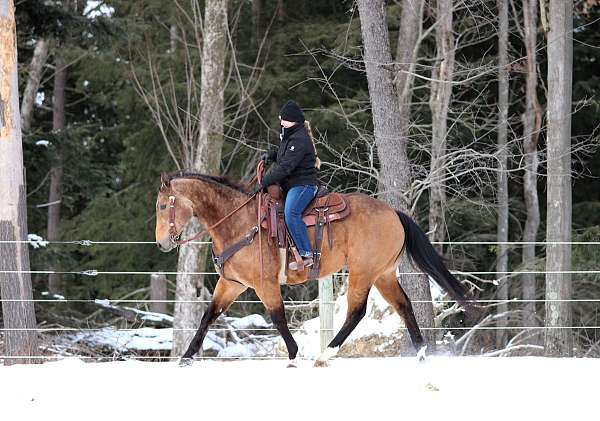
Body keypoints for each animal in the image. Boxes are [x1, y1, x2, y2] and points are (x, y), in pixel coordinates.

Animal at [155, 170, 474, 364]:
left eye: (162, 206)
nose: (161, 244)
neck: (240, 223)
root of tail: (394, 213)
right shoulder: (232, 284)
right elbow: (208, 316)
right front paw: (187, 356)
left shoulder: (264, 283)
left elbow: (278, 317)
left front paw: (294, 354)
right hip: (383, 274)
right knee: (404, 305)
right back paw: (421, 353)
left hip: (363, 273)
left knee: (357, 312)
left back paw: (327, 353)